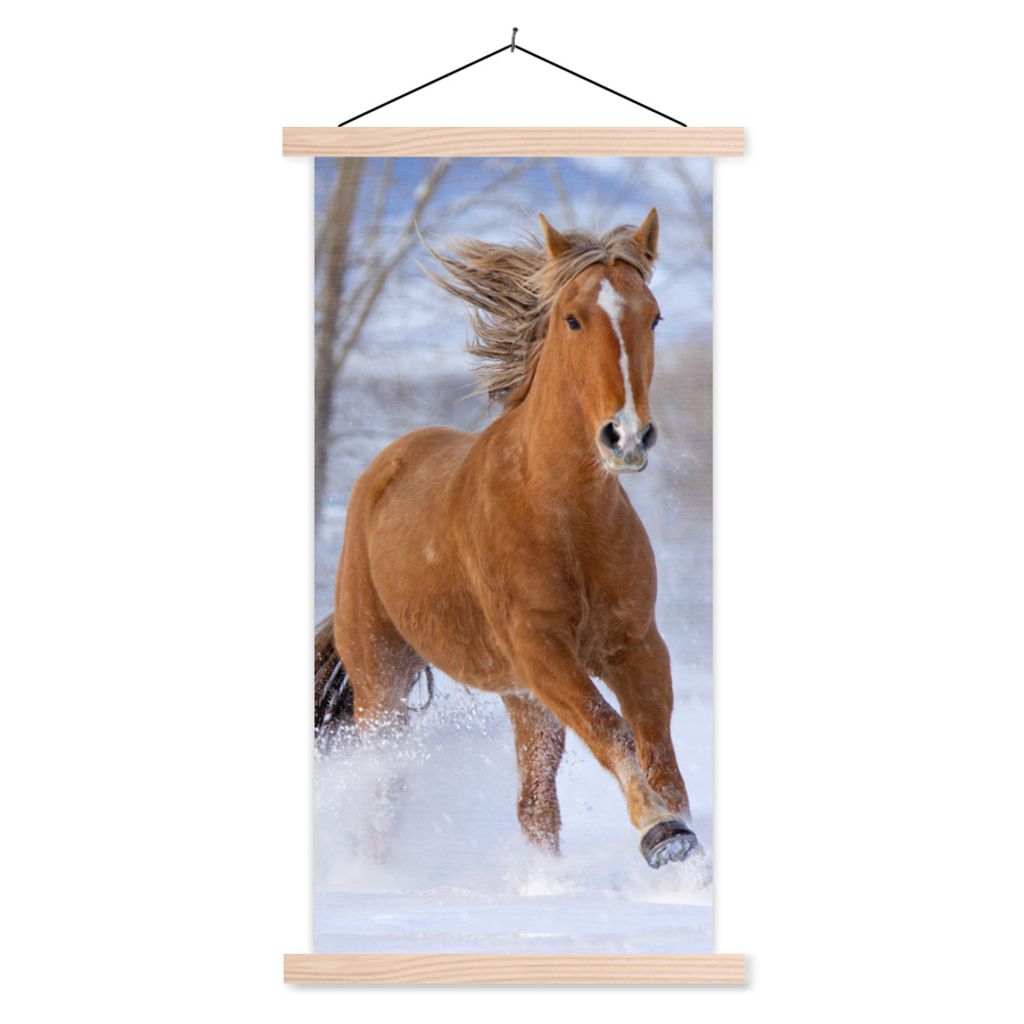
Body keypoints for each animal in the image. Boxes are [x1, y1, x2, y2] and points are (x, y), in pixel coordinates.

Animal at [315, 208, 700, 869]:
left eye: (653, 315)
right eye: (573, 318)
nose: (626, 436)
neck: (564, 515)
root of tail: (383, 468)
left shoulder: (636, 645)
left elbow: (659, 753)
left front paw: (683, 845)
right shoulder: (539, 647)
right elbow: (613, 730)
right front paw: (661, 832)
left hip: (523, 700)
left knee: (535, 806)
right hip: (381, 683)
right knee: (383, 791)